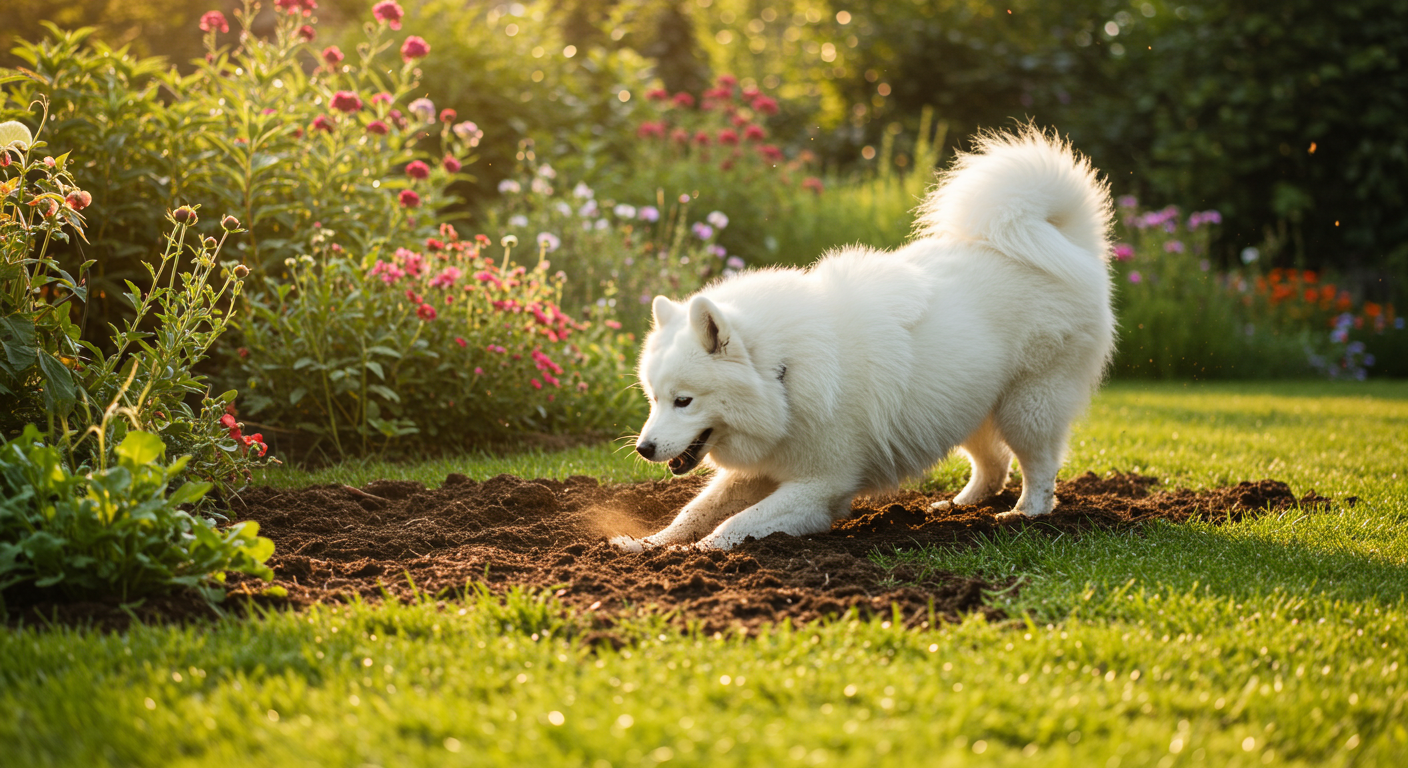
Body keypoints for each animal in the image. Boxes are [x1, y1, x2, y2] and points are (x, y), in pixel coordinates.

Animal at [613, 130, 1109, 552]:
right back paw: (958, 509)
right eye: (654, 399)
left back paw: (1025, 515)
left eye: (684, 401)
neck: (784, 376)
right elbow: (694, 512)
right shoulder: (763, 471)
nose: (643, 449)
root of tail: (1066, 241)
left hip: (1027, 406)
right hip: (966, 406)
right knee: (994, 466)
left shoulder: (820, 487)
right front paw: (644, 545)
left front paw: (695, 555)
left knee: (1039, 467)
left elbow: (733, 525)